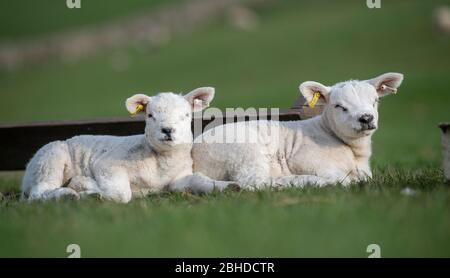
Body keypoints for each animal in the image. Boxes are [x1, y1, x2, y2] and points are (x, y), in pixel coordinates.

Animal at [21, 87, 227, 202]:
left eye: (185, 115)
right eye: (150, 115)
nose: (167, 130)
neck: (160, 162)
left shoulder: (178, 179)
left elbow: (198, 180)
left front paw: (226, 186)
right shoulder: (107, 165)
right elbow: (121, 194)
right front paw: (85, 186)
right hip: (49, 161)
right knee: (38, 193)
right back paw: (67, 195)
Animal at [192, 71, 404, 190]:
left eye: (375, 101)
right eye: (339, 106)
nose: (366, 118)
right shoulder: (306, 160)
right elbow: (343, 179)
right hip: (244, 152)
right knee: (254, 183)